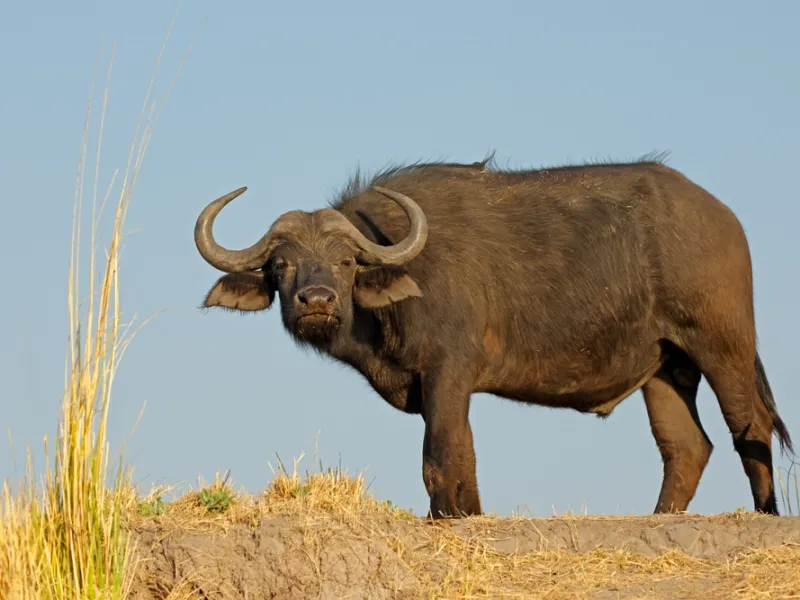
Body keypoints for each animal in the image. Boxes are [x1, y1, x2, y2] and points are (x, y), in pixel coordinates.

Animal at [194, 155, 793, 518]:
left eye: (345, 262)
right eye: (282, 264)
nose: (316, 301)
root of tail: (721, 217)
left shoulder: (447, 373)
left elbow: (441, 456)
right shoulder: (449, 388)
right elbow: (466, 457)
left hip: (722, 347)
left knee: (750, 428)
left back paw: (767, 514)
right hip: (666, 369)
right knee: (687, 447)